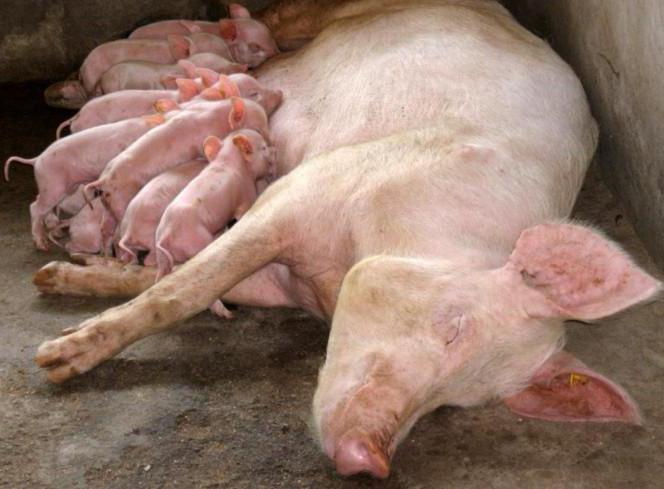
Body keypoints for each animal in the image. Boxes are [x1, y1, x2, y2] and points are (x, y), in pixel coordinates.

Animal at [5, 113, 165, 250]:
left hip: (57, 187)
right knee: (34, 207)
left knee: (41, 203)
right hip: (52, 185)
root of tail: (37, 159)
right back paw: (42, 245)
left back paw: (57, 233)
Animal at [85, 97, 269, 222]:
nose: (271, 142)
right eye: (258, 128)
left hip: (109, 203)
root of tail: (104, 180)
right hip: (121, 199)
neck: (217, 115)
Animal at [155, 129, 276, 277]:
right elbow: (243, 212)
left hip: (162, 258)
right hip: (197, 240)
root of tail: (166, 235)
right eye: (263, 147)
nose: (273, 149)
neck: (227, 160)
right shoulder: (246, 195)